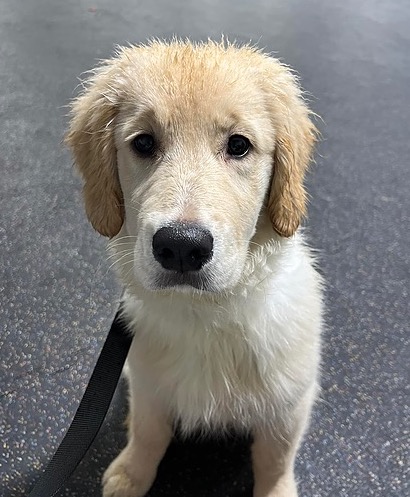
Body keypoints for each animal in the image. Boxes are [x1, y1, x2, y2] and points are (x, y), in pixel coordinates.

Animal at [66, 40, 324, 496]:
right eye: (143, 143)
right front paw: (132, 473)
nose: (181, 247)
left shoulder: (289, 403)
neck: (206, 314)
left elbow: (275, 459)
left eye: (238, 145)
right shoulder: (149, 384)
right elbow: (148, 431)